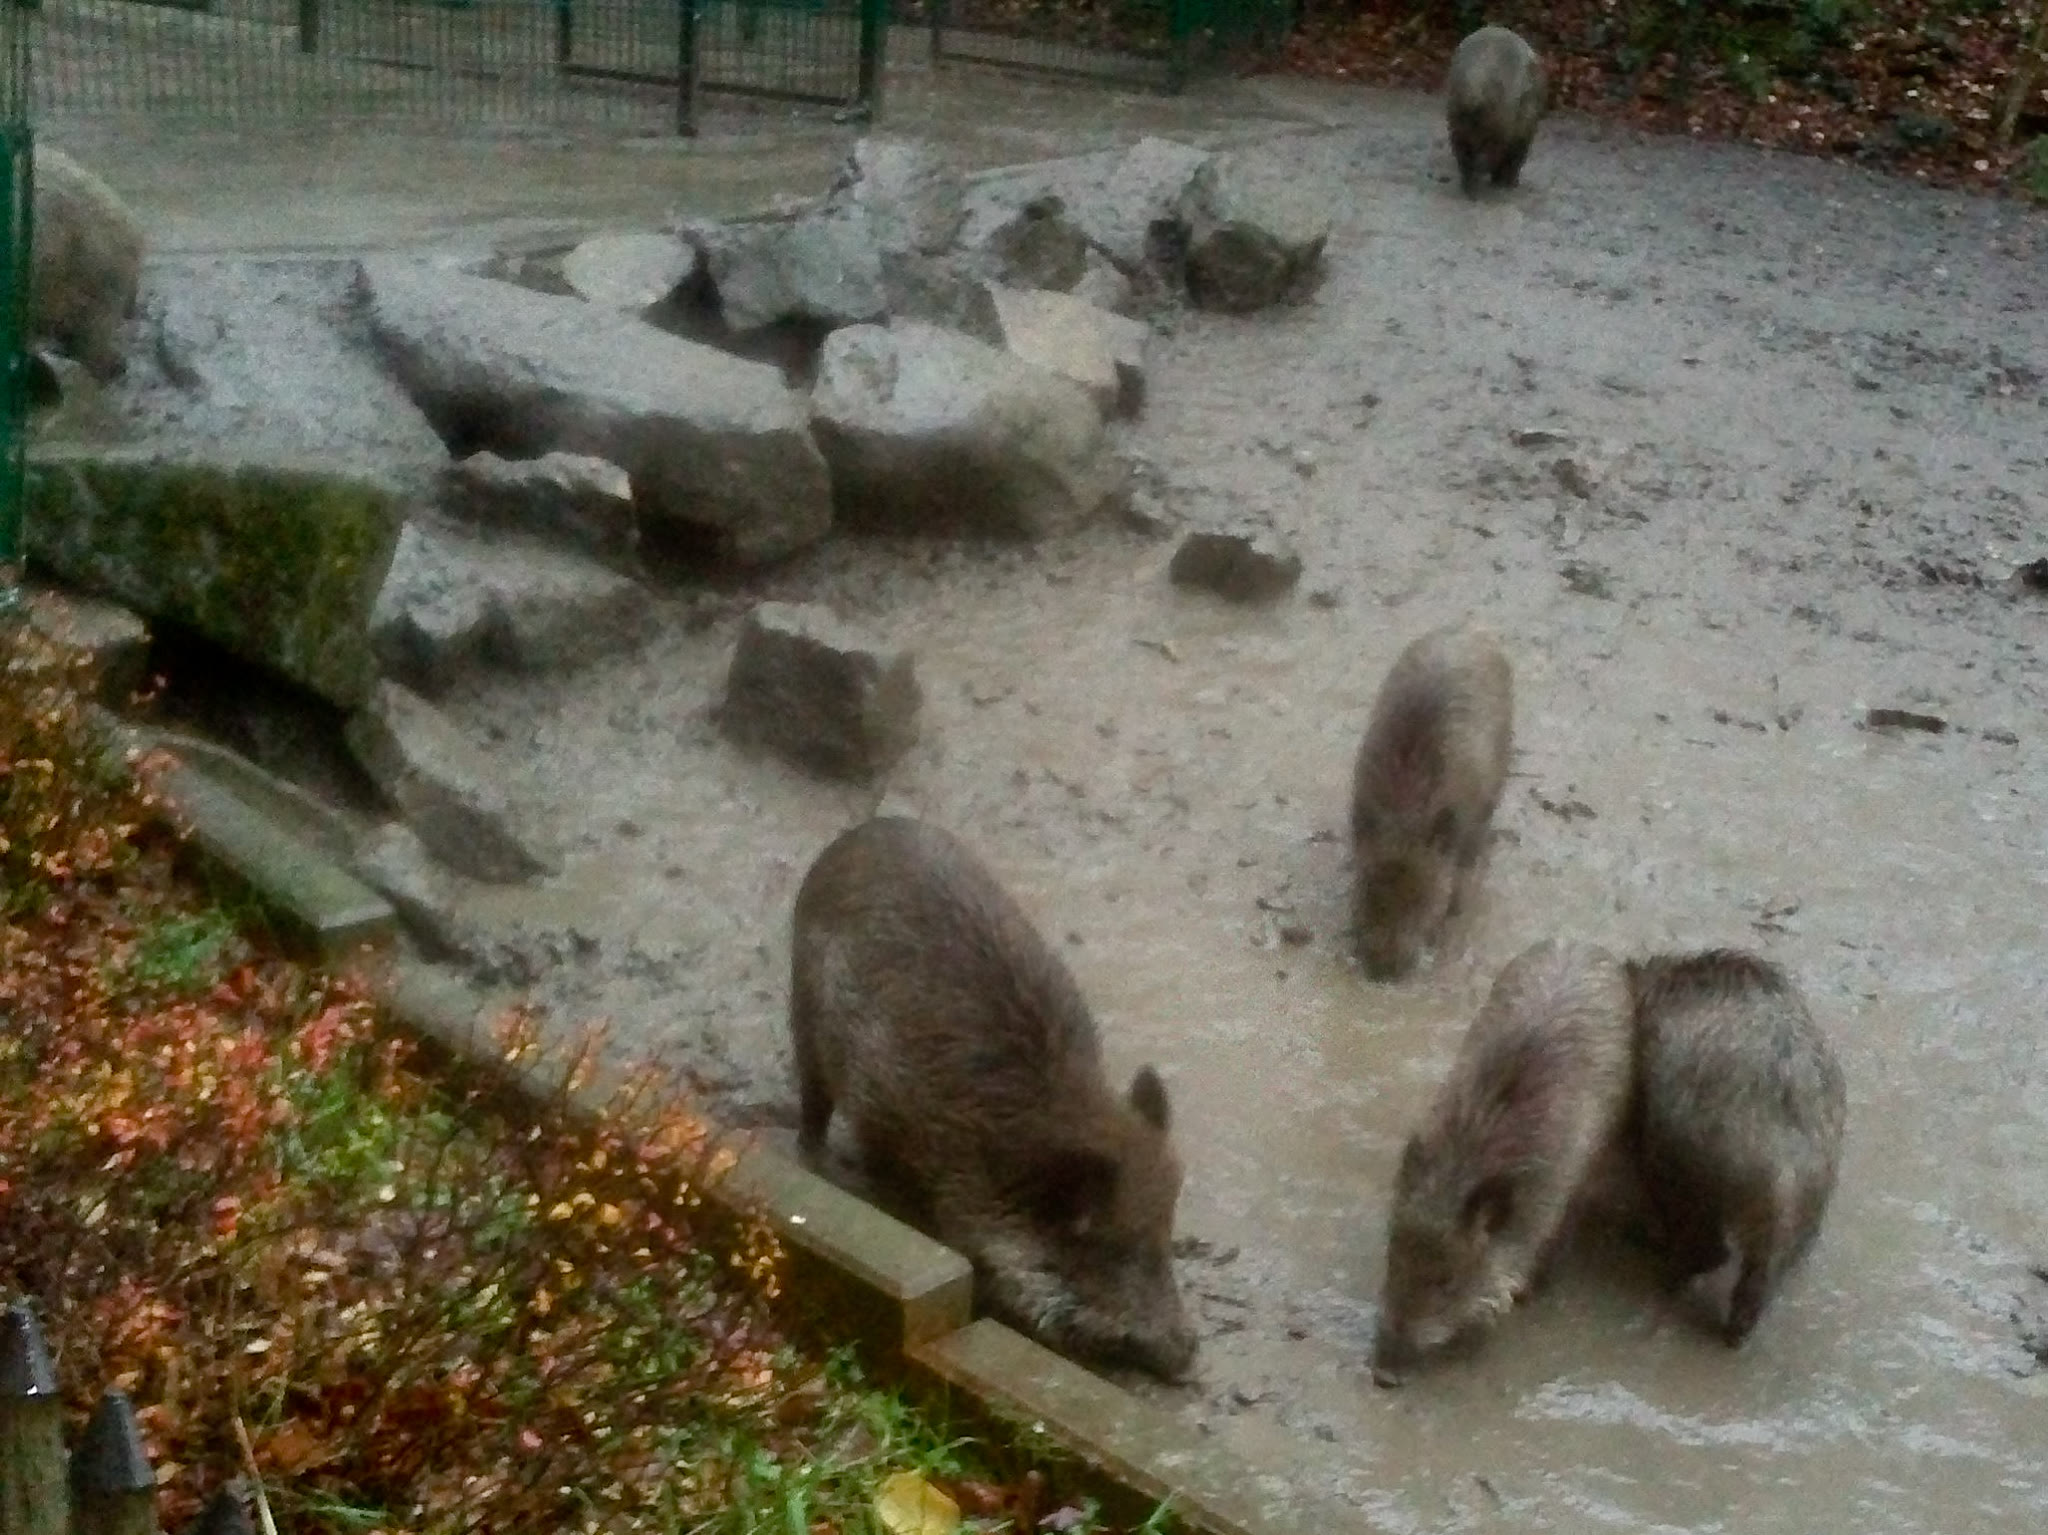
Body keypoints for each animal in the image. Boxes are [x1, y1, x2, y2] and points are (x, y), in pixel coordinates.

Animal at [788, 815, 1198, 1382]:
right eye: (1110, 1250)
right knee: (811, 1103)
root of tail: (862, 833)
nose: (1189, 1353)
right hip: (803, 1010)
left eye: (1166, 1239)